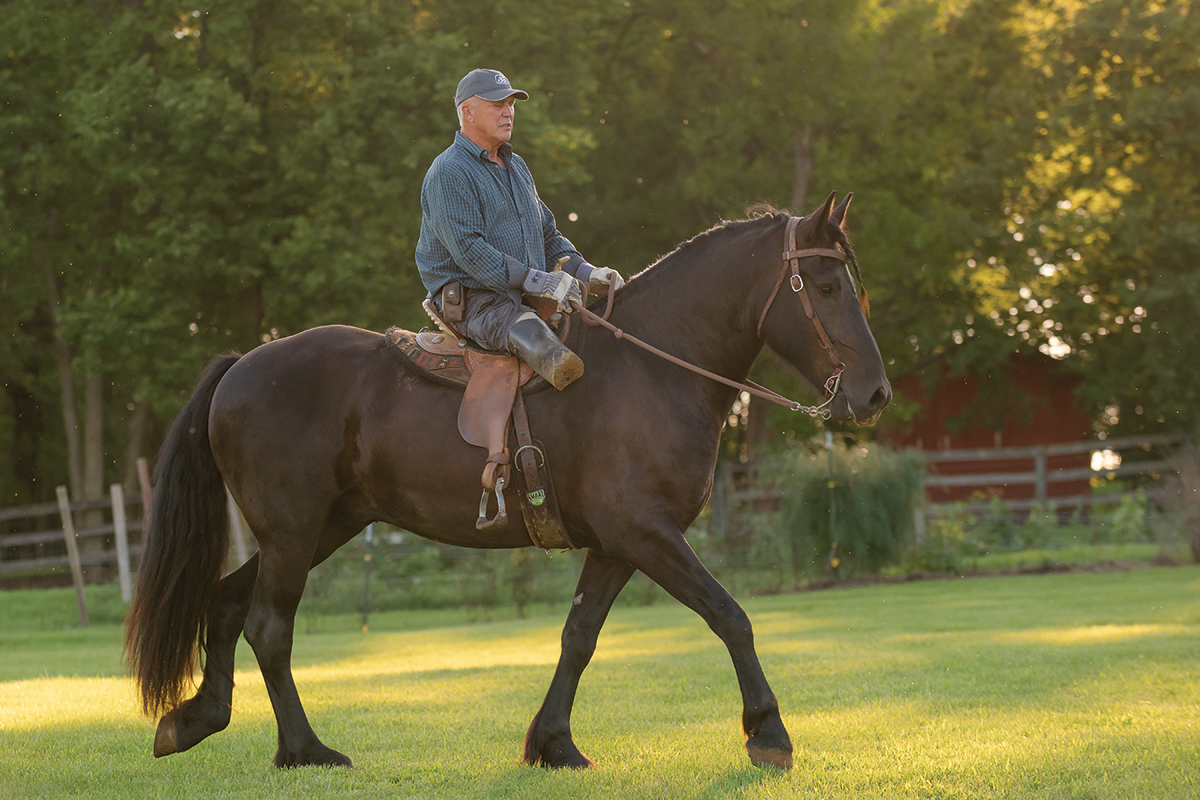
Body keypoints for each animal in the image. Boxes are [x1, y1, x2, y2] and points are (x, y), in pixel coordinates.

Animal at [124, 190, 892, 772]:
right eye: (826, 287)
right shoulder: (646, 534)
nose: (875, 394)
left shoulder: (617, 546)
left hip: (322, 528)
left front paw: (553, 743)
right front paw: (769, 732)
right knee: (268, 627)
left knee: (227, 605)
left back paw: (197, 719)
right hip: (292, 532)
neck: (651, 369)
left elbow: (578, 638)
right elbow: (730, 615)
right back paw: (304, 750)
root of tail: (242, 366)